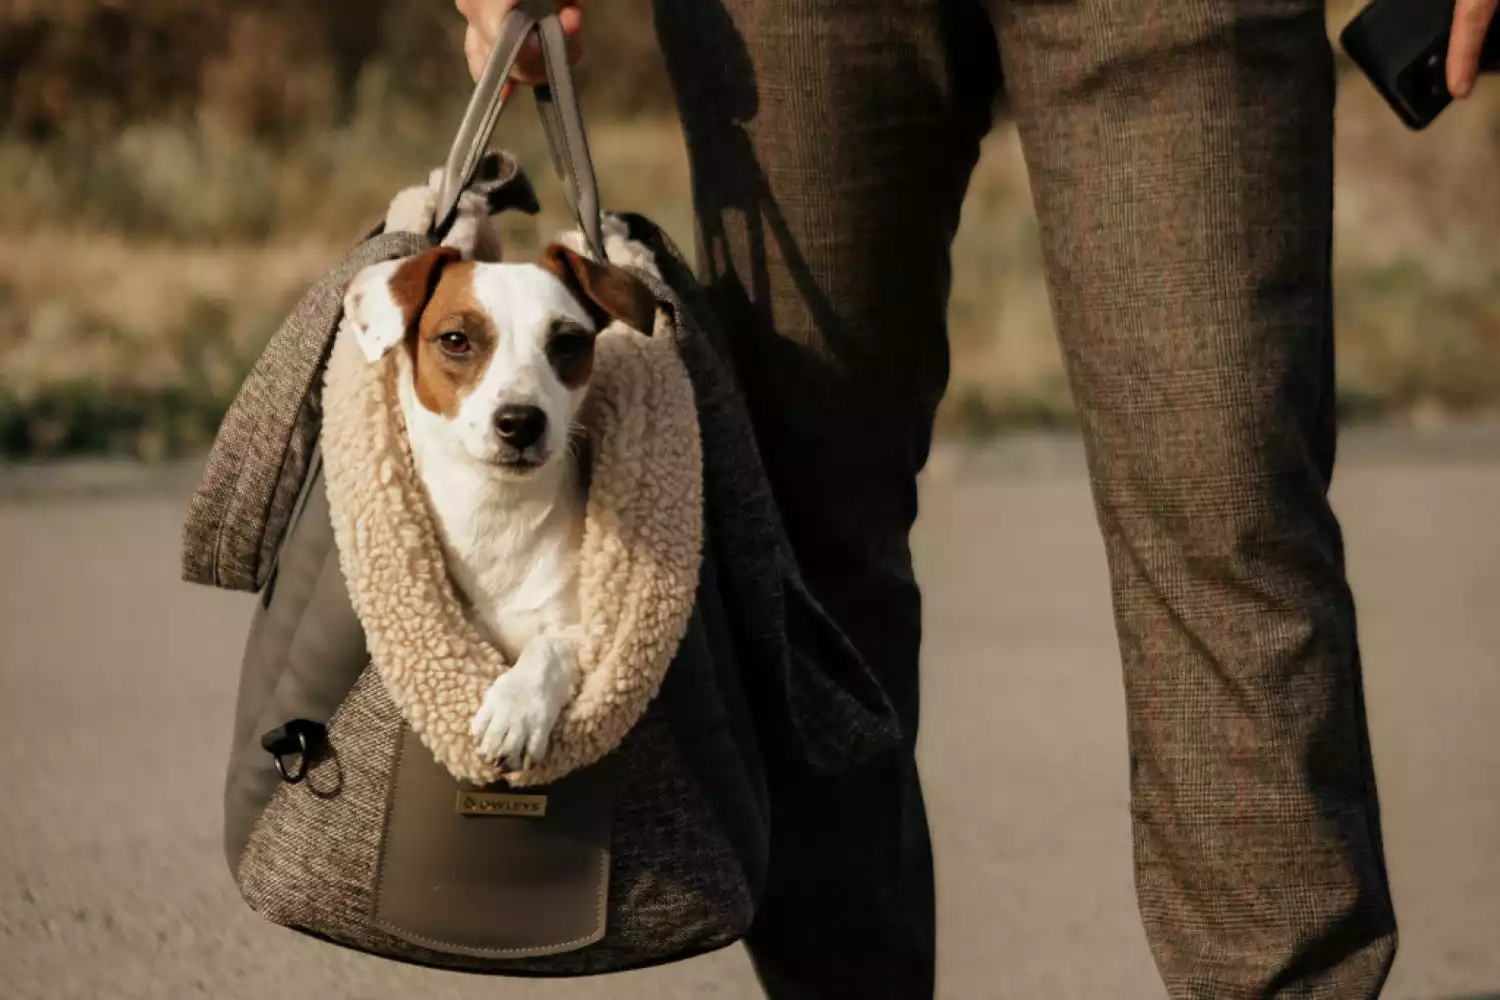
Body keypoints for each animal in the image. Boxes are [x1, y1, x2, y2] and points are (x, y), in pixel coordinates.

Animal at [346, 235, 663, 773]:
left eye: (567, 343)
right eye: (456, 340)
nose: (521, 422)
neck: (495, 513)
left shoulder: (578, 628)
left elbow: (550, 648)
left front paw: (518, 707)